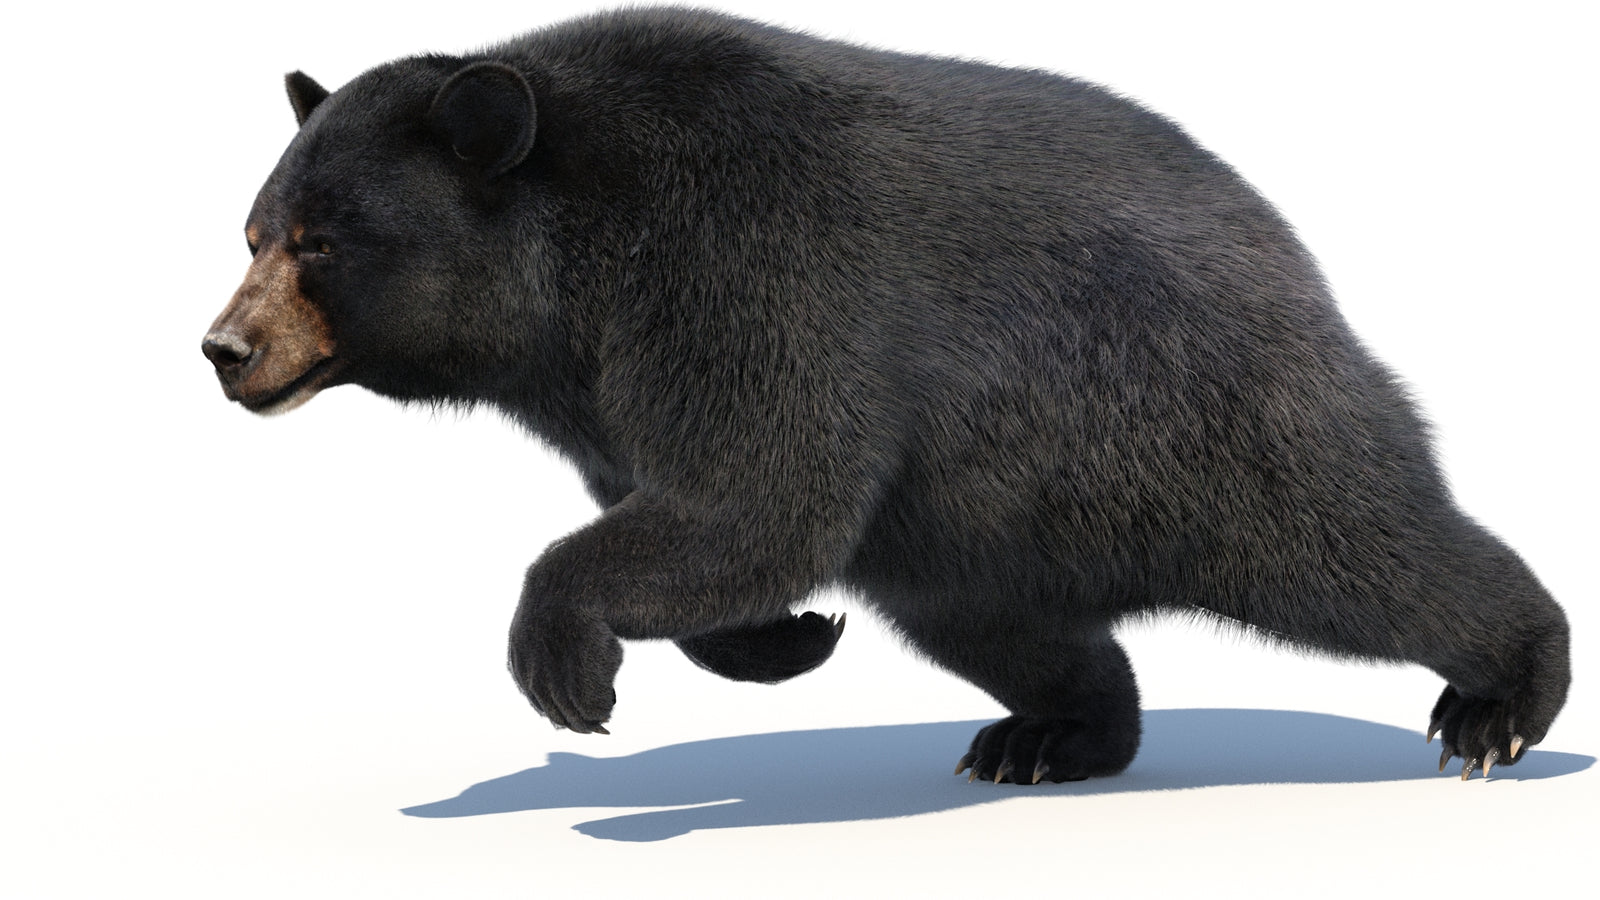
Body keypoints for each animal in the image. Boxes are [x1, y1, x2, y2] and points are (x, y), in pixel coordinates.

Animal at [202, 6, 1569, 783]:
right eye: (255, 230)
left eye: (323, 241)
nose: (224, 349)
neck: (570, 283)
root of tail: (1293, 254)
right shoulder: (604, 389)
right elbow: (705, 518)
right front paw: (781, 638)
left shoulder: (741, 269)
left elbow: (765, 495)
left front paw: (566, 664)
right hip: (980, 518)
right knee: (997, 624)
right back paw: (1053, 735)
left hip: (1196, 419)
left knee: (1361, 554)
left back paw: (1502, 701)